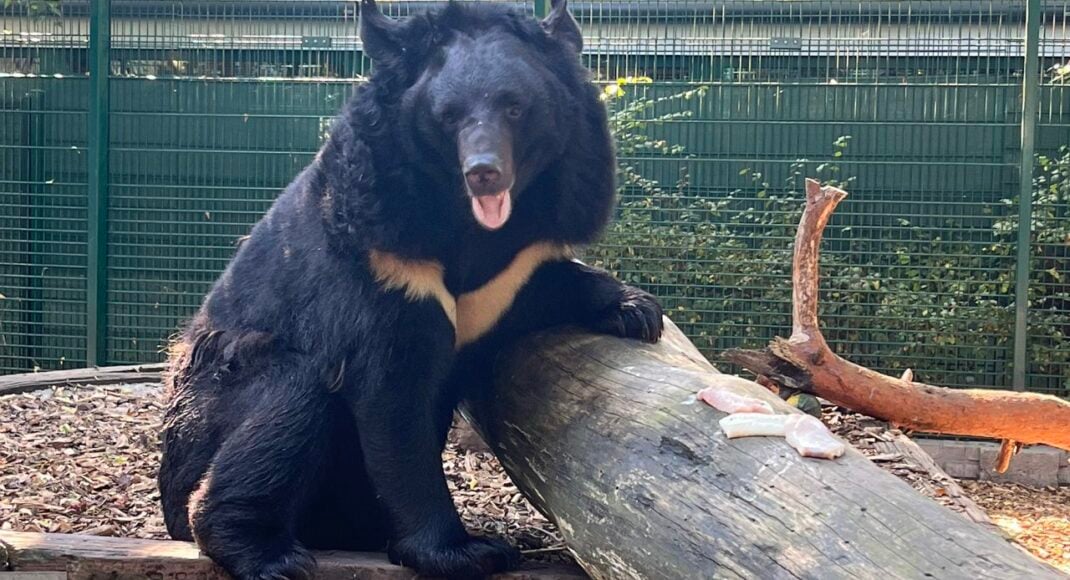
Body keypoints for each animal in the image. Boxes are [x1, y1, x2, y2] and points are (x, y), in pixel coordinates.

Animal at [157, 0, 659, 577]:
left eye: (515, 108)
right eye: (448, 116)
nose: (484, 172)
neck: (467, 221)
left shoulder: (516, 261)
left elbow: (545, 282)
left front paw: (636, 311)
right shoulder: (383, 260)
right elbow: (394, 398)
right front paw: (463, 551)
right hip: (208, 406)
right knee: (290, 398)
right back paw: (268, 554)